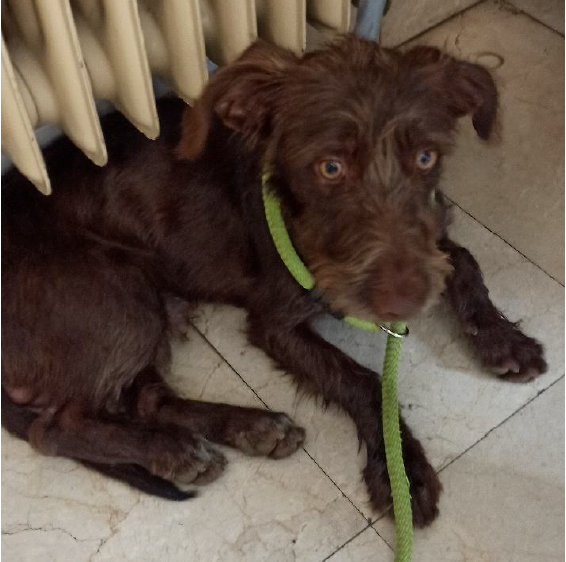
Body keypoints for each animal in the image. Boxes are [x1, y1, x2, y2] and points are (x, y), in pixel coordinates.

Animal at [2, 36, 547, 527]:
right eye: (330, 167)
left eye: (426, 158)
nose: (402, 303)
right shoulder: (276, 320)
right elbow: (361, 379)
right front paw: (402, 474)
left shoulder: (427, 244)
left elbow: (465, 259)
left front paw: (501, 337)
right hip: (120, 301)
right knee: (57, 428)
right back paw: (174, 449)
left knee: (147, 400)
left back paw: (245, 428)